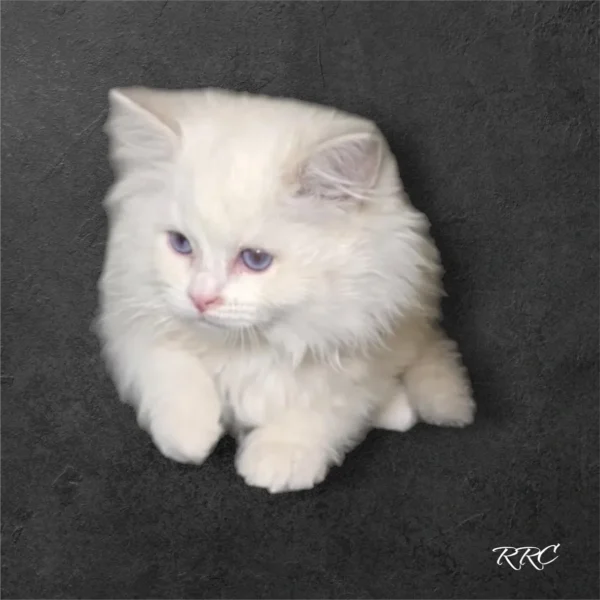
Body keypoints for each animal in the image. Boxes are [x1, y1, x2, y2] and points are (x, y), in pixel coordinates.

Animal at [97, 89, 474, 492]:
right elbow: (166, 363)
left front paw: (280, 455)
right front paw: (188, 433)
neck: (249, 346)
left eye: (256, 259)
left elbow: (323, 404)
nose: (201, 299)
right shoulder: (127, 312)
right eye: (181, 244)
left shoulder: (360, 345)